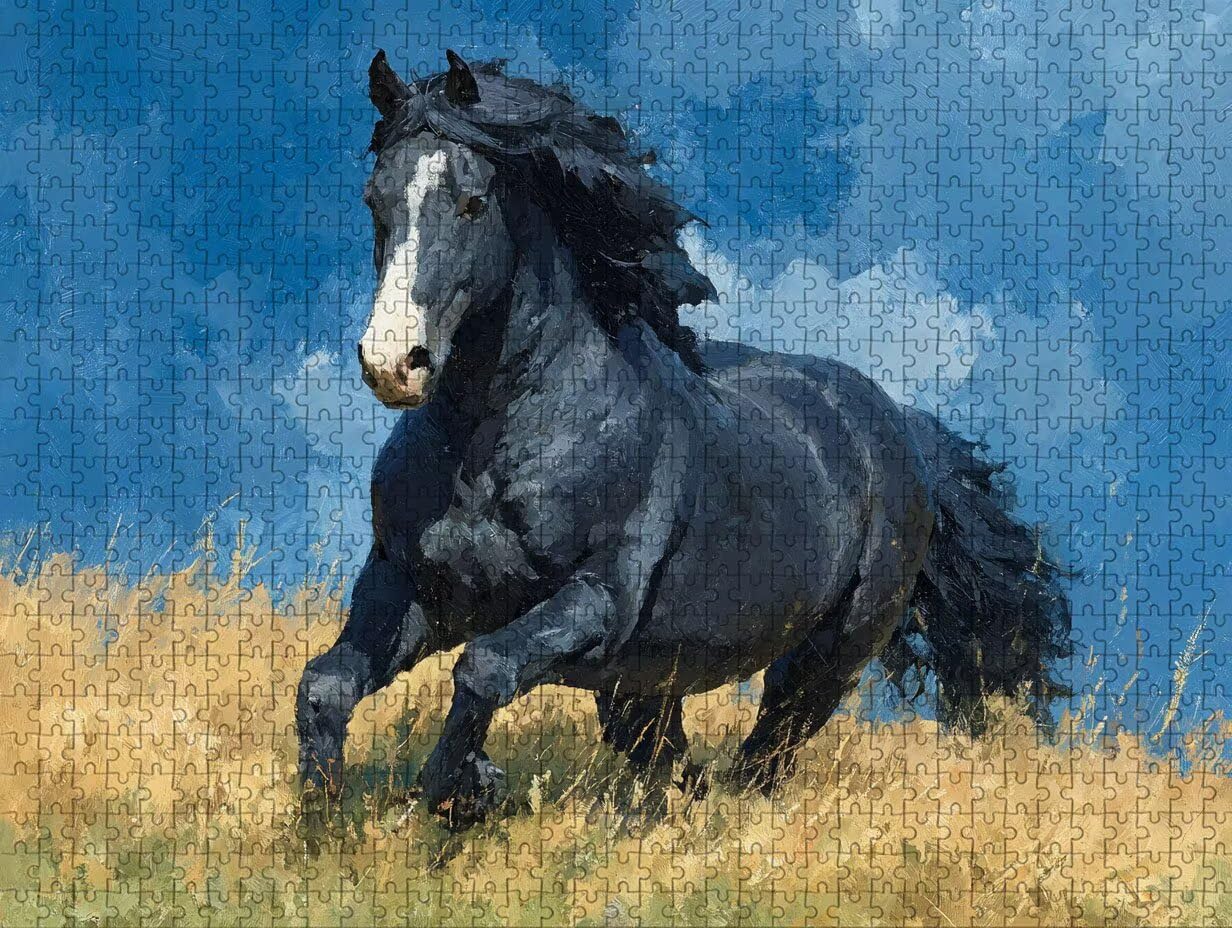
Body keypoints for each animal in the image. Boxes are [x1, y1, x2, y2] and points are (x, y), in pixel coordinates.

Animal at [296, 49, 1072, 827]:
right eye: (375, 201)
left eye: (471, 202)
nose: (392, 362)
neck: (497, 446)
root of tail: (901, 431)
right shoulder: (410, 586)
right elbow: (325, 686)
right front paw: (328, 814)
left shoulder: (599, 602)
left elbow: (484, 668)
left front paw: (462, 786)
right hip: (649, 680)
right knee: (674, 764)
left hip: (824, 658)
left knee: (762, 759)